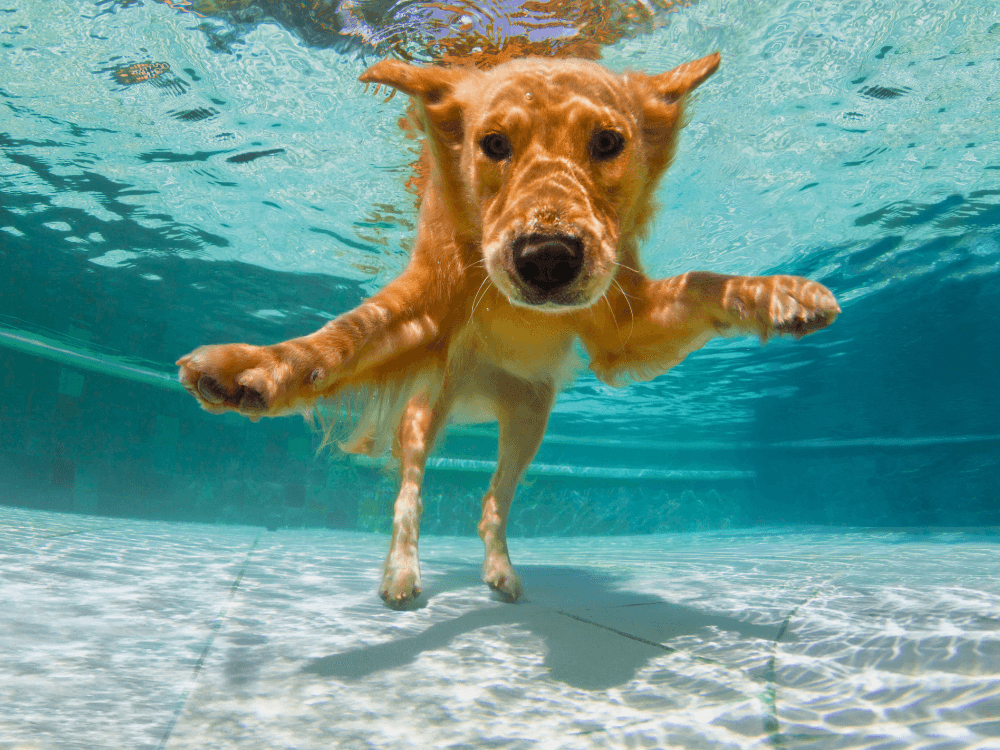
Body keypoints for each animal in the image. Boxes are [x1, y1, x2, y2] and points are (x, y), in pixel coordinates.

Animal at [176, 51, 840, 604]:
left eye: (608, 142)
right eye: (493, 143)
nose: (547, 258)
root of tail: (478, 394)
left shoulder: (623, 327)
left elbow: (701, 282)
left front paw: (778, 294)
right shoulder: (423, 306)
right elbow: (343, 338)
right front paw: (254, 366)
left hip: (530, 418)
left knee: (493, 503)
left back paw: (500, 572)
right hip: (426, 410)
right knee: (409, 493)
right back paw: (401, 573)